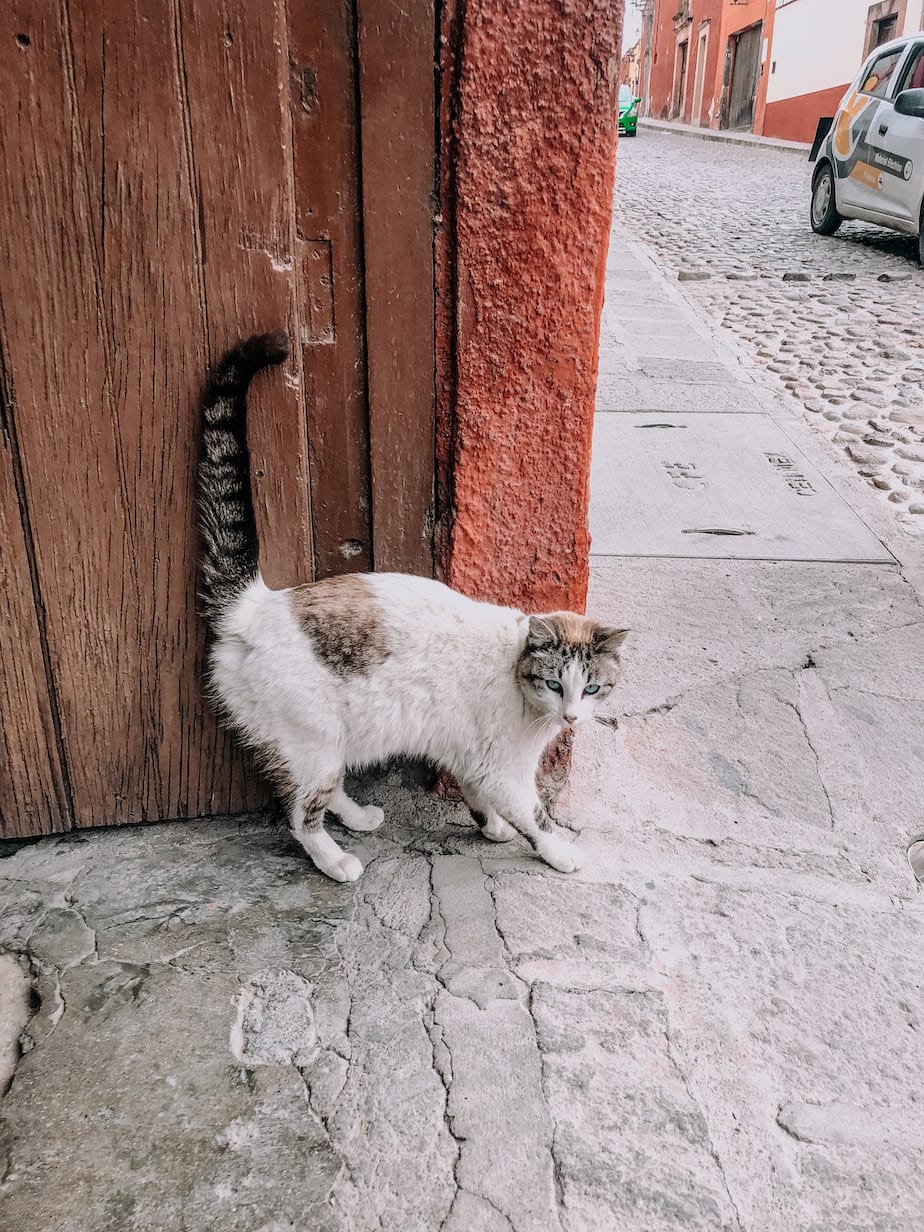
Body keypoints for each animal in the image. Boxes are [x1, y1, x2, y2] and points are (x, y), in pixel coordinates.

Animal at [197, 332, 630, 882]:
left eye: (592, 688)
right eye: (556, 684)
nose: (572, 717)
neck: (517, 677)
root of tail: (257, 604)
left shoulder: (473, 757)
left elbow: (476, 795)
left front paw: (492, 827)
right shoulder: (505, 767)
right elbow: (534, 815)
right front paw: (558, 851)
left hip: (326, 743)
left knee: (320, 792)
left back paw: (358, 817)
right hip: (315, 740)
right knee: (298, 813)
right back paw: (335, 860)